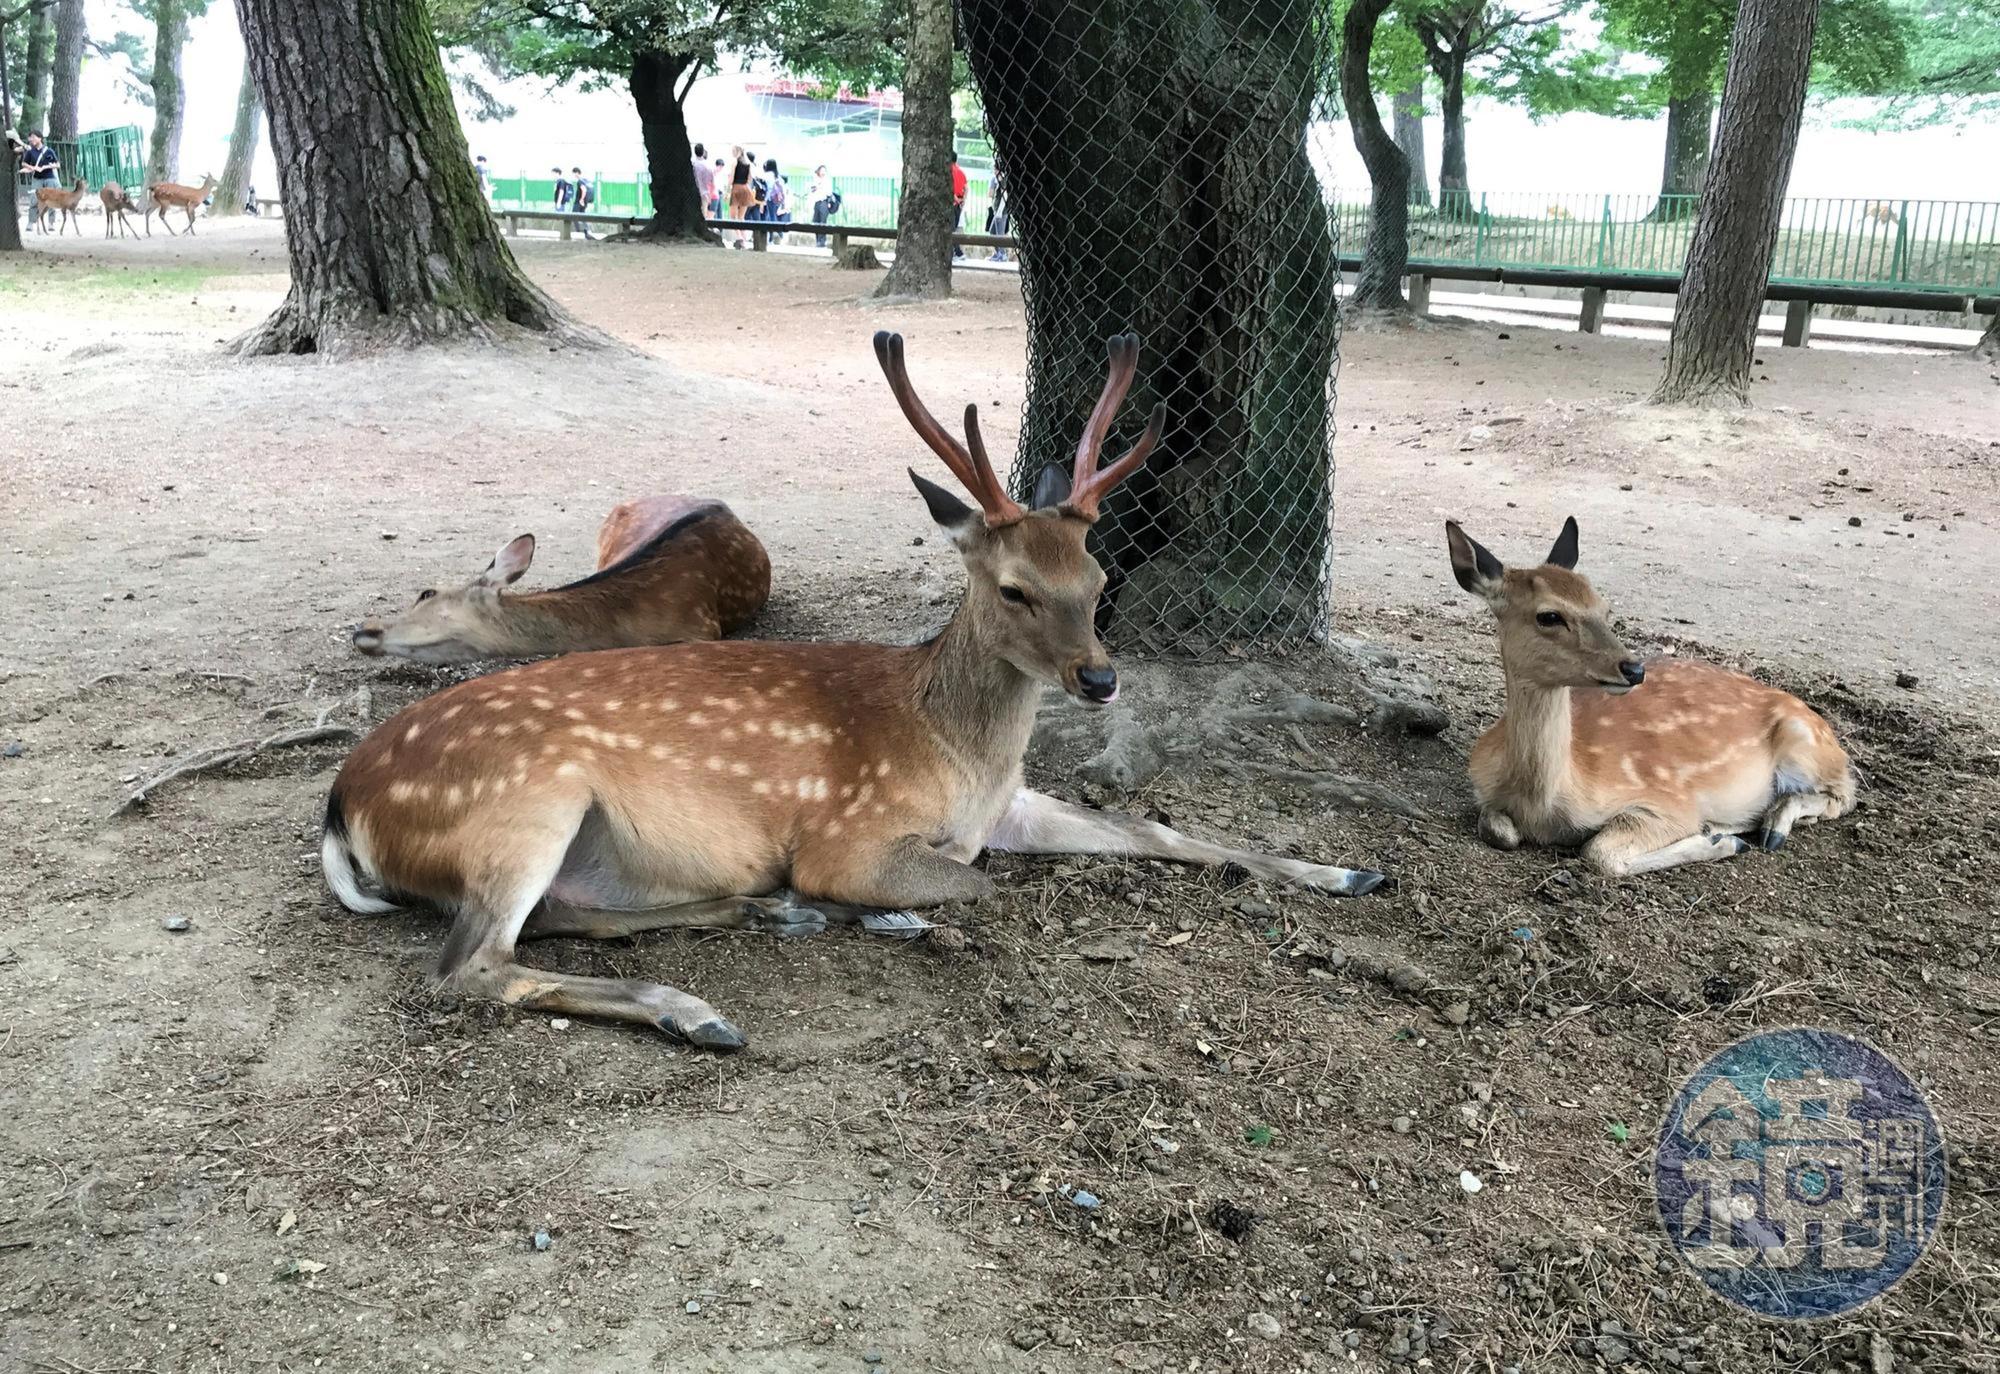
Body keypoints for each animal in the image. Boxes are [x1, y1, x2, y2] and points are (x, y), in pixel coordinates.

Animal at [1445, 518, 1855, 877]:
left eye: (1605, 608)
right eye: (1548, 616)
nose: (1633, 668)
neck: (1543, 804)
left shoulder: (1668, 800)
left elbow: (1599, 852)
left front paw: (1720, 842)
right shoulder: (1482, 790)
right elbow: (1498, 830)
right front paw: (1718, 836)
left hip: (1805, 744)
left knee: (1844, 794)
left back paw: (1769, 828)